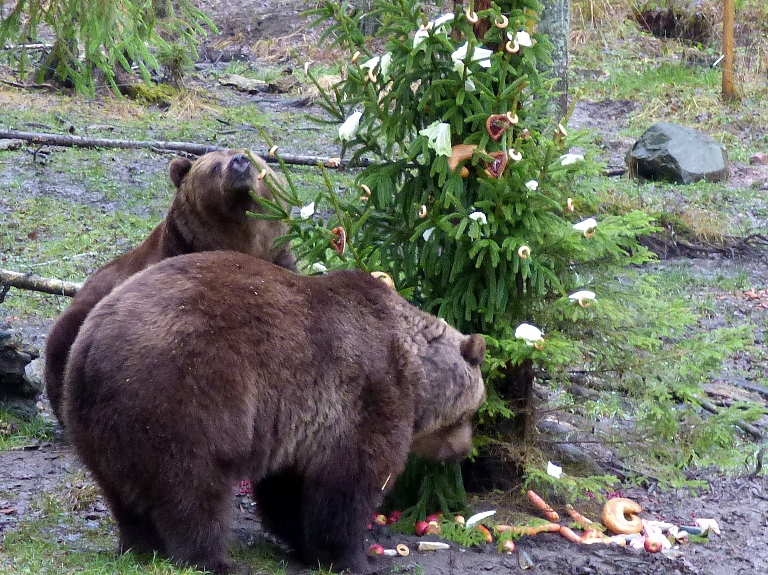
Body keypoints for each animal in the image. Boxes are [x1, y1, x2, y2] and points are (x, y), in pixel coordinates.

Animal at [64, 253, 486, 575]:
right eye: (473, 410)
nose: (464, 451)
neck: (415, 368)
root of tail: (91, 348)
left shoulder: (298, 421)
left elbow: (288, 488)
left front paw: (305, 544)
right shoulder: (367, 394)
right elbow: (349, 484)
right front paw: (354, 557)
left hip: (98, 423)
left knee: (122, 491)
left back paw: (140, 545)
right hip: (183, 399)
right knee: (192, 489)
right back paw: (215, 560)